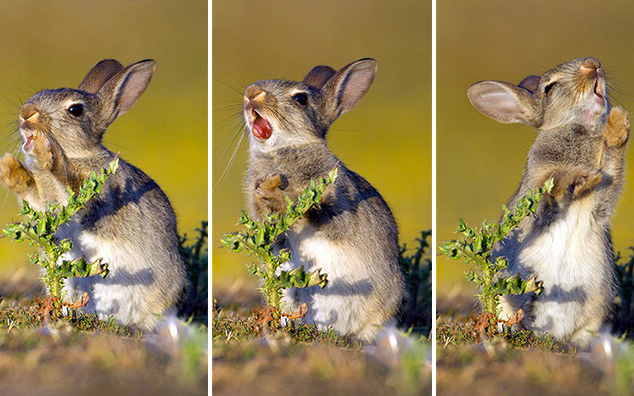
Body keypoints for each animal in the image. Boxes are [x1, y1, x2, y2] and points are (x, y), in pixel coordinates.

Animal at [242, 57, 404, 342]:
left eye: (300, 99)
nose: (251, 93)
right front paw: (267, 195)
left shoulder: (341, 204)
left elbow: (328, 217)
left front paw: (284, 197)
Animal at [464, 55, 628, 346]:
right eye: (549, 88)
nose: (592, 63)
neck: (576, 130)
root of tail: (552, 332)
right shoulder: (538, 200)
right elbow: (552, 188)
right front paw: (581, 176)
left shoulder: (603, 197)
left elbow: (612, 164)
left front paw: (619, 122)